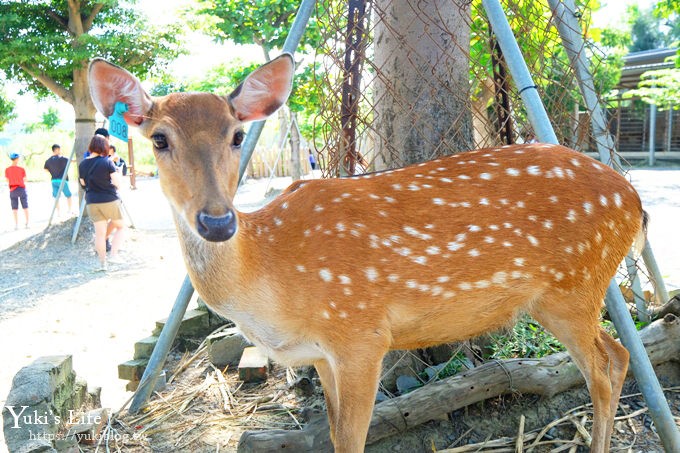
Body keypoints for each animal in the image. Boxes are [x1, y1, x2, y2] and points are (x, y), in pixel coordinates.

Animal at [90, 54, 648, 450]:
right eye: (159, 139)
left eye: (238, 135)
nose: (217, 221)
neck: (270, 273)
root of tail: (634, 200)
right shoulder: (320, 353)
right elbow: (337, 437)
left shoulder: (361, 333)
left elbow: (355, 438)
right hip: (562, 296)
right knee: (619, 354)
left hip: (573, 287)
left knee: (605, 367)